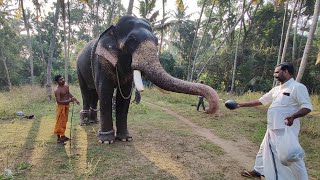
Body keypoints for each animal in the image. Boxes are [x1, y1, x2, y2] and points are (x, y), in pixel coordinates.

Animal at [77, 15, 220, 144]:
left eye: (156, 41)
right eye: (132, 40)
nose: (207, 109)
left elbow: (124, 95)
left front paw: (125, 138)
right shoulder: (100, 59)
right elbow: (105, 90)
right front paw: (106, 141)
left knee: (94, 92)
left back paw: (94, 121)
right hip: (78, 68)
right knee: (86, 91)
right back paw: (84, 123)